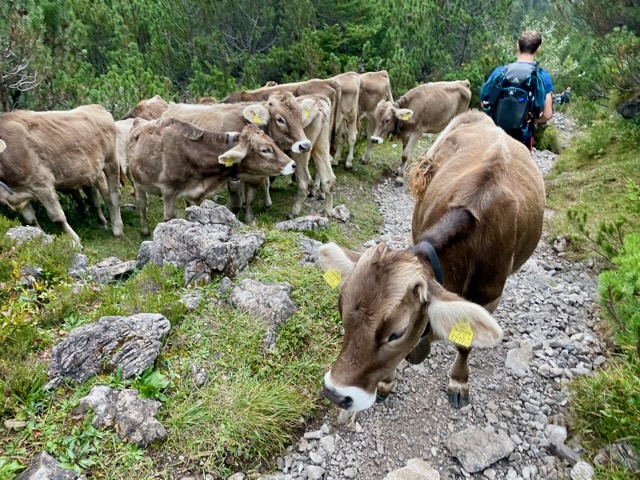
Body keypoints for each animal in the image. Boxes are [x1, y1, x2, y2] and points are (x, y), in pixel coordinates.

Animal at [0, 105, 123, 245]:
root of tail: (95, 106)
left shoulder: (42, 184)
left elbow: (57, 217)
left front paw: (76, 241)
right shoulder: (21, 193)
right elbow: (30, 220)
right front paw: (39, 236)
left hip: (111, 161)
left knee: (114, 195)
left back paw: (117, 228)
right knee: (105, 196)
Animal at [128, 120, 296, 235]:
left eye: (273, 142)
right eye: (265, 150)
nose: (293, 164)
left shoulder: (196, 194)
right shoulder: (168, 191)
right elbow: (170, 218)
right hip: (137, 182)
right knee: (142, 204)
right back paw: (144, 229)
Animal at [318, 110, 545, 412]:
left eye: (397, 333)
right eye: (341, 308)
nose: (335, 393)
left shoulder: (489, 296)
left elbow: (465, 343)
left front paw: (459, 382)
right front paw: (387, 382)